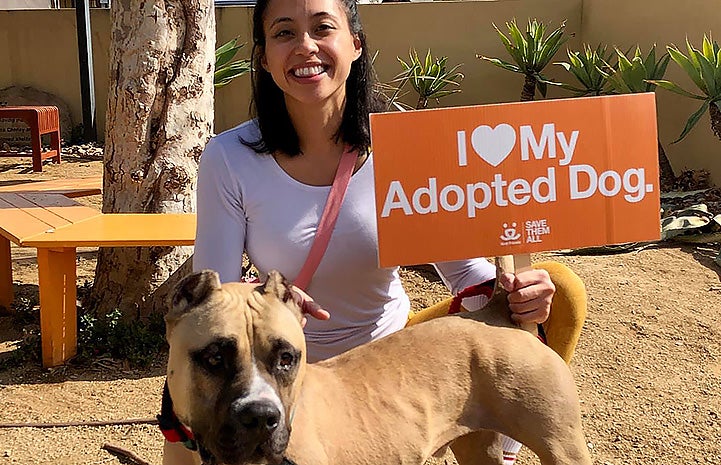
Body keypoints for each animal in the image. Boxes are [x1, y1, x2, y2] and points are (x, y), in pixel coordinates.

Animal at [165, 268, 592, 464]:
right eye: (214, 358)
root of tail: (496, 310)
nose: (261, 417)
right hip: (477, 445)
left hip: (562, 446)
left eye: (287, 358)